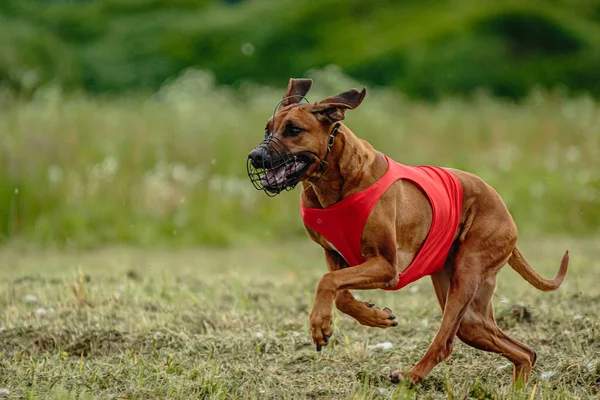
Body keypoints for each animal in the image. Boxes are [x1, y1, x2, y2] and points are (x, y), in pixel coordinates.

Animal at [246, 77, 568, 384]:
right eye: (267, 129)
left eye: (294, 129)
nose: (255, 156)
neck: (335, 181)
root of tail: (504, 209)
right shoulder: (334, 255)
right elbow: (340, 294)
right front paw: (375, 317)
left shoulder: (387, 266)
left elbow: (327, 282)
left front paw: (319, 325)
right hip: (466, 304)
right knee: (519, 349)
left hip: (468, 270)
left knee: (446, 341)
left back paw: (412, 376)